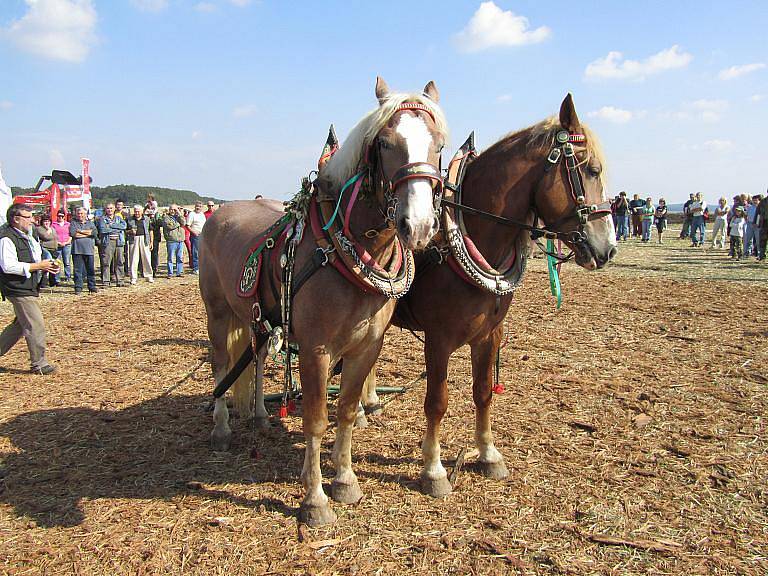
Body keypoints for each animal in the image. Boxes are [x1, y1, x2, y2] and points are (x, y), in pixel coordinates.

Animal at [200, 77, 450, 528]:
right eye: (385, 142)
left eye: (438, 144)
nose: (419, 225)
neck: (343, 250)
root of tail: (219, 213)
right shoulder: (316, 349)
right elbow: (316, 420)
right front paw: (315, 498)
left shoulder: (367, 346)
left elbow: (347, 410)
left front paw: (346, 480)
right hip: (218, 312)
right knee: (222, 365)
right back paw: (222, 428)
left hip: (261, 318)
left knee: (257, 359)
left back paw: (260, 415)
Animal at [360, 93, 616, 496]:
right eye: (591, 170)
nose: (608, 248)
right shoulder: (439, 339)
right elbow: (437, 402)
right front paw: (433, 469)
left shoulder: (489, 335)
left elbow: (482, 392)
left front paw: (488, 454)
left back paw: (370, 403)